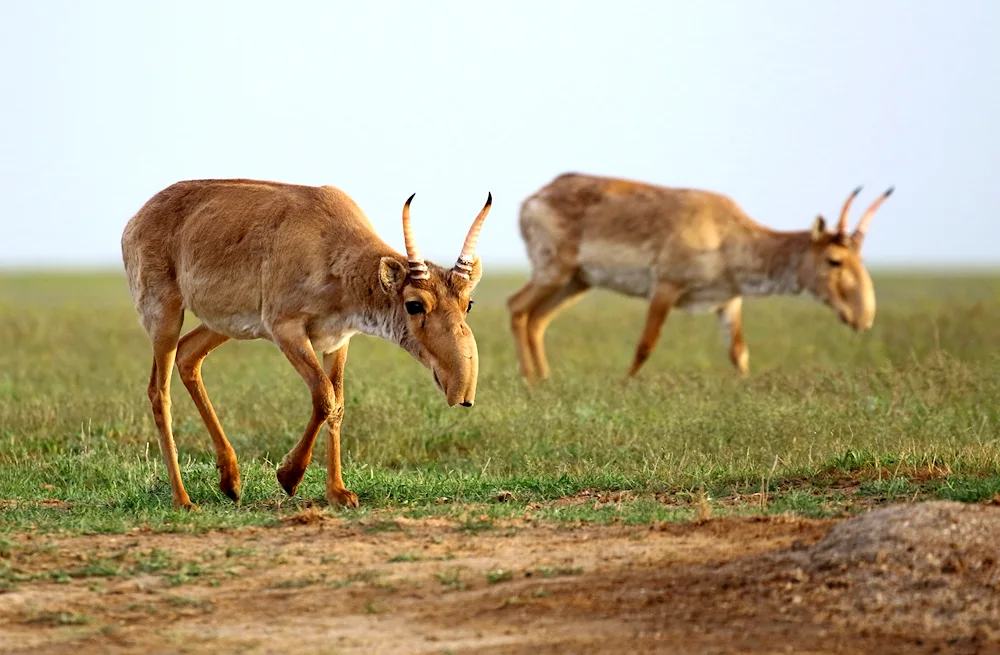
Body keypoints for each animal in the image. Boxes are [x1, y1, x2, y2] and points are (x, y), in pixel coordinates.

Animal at [123, 181, 490, 512]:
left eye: (468, 303)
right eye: (414, 304)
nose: (462, 392)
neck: (332, 247)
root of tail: (134, 221)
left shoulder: (338, 340)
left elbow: (337, 404)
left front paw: (338, 492)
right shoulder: (286, 330)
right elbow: (324, 395)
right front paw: (289, 476)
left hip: (222, 325)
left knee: (188, 355)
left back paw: (231, 481)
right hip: (165, 314)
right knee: (159, 392)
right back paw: (183, 500)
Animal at [512, 172, 896, 382]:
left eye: (859, 258)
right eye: (834, 260)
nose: (864, 317)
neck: (726, 235)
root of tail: (532, 199)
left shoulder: (729, 301)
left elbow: (739, 352)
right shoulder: (665, 288)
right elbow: (645, 346)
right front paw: (623, 386)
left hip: (578, 282)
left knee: (537, 320)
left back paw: (544, 380)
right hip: (554, 272)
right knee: (517, 307)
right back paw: (531, 382)